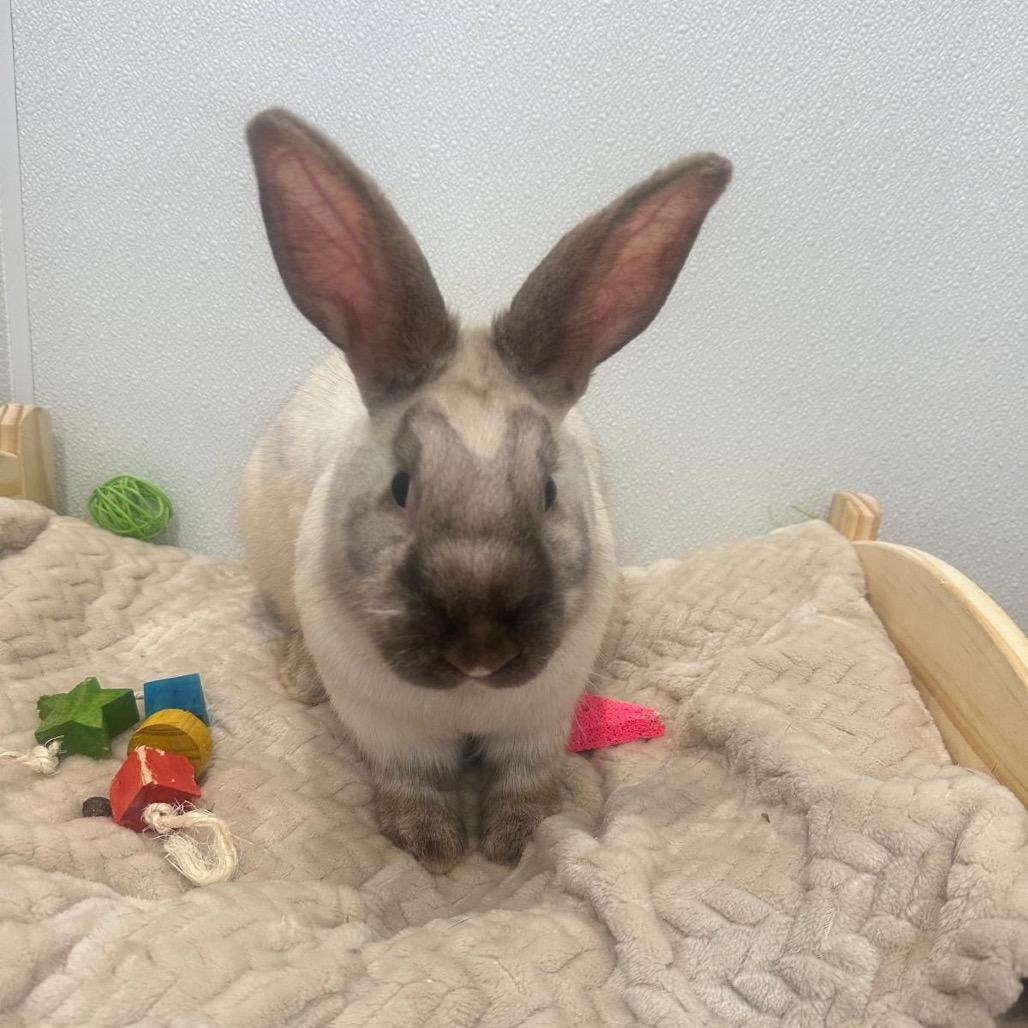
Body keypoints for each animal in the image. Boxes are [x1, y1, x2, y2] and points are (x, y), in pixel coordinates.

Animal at [239, 108, 731, 871]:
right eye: (401, 487)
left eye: (550, 490)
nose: (480, 651)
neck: (466, 699)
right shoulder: (391, 733)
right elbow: (413, 785)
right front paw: (433, 848)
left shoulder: (537, 724)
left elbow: (525, 780)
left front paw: (514, 842)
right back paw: (300, 675)